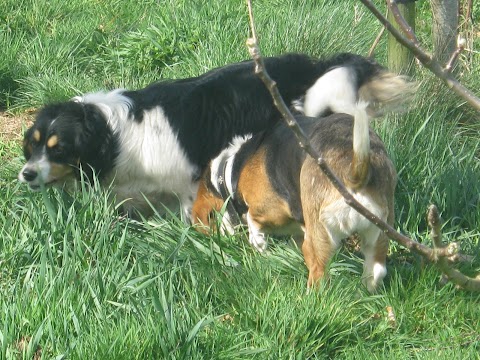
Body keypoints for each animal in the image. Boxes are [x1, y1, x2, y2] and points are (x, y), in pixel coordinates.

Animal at [18, 52, 414, 217]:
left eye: (58, 149)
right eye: (33, 146)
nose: (26, 174)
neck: (115, 134)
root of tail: (314, 65)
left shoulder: (186, 182)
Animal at [192, 105, 398, 292]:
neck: (231, 169)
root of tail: (354, 171)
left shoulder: (268, 210)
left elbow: (253, 222)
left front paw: (259, 246)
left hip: (319, 234)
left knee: (318, 271)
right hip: (379, 229)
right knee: (377, 269)